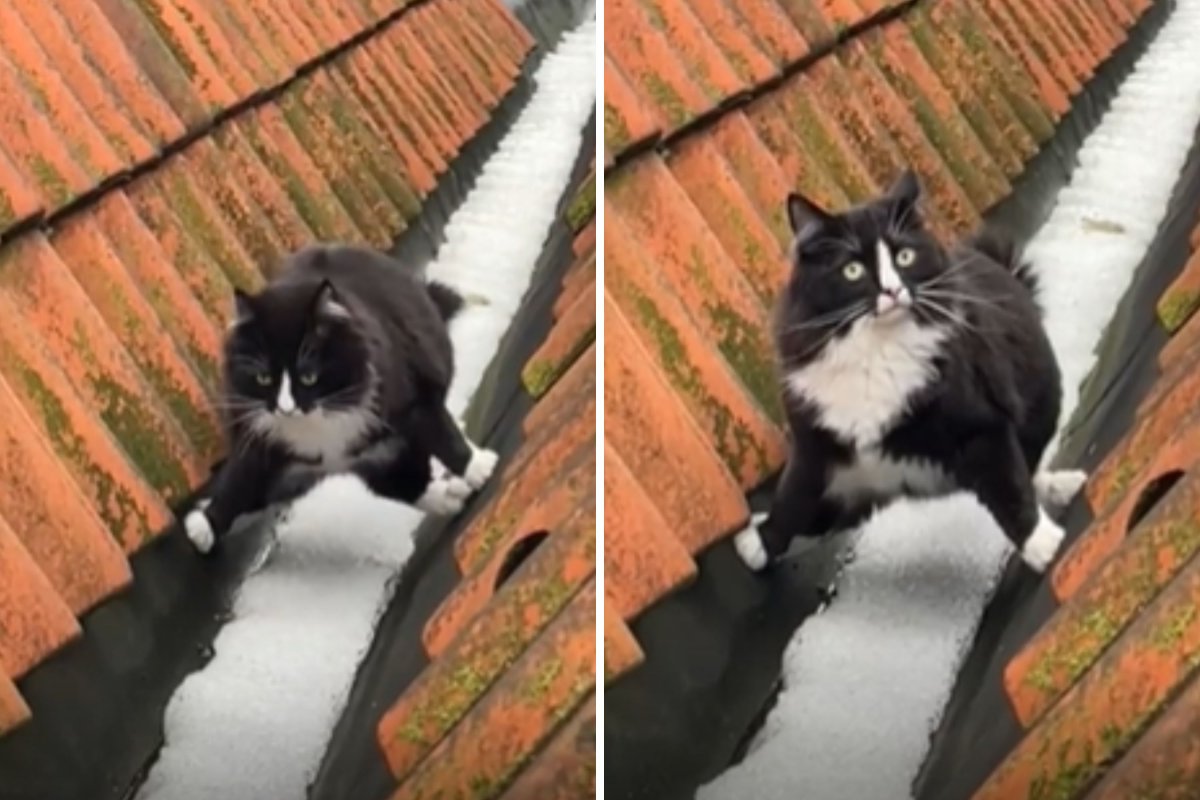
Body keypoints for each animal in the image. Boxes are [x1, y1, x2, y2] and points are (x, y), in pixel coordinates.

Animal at [181, 244, 496, 556]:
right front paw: (205, 525)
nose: (286, 409)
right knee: (402, 482)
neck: (321, 423)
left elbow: (441, 432)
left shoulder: (411, 396)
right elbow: (238, 484)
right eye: (263, 378)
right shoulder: (260, 440)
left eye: (308, 376)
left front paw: (476, 468)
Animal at [729, 169, 1089, 573]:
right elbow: (792, 501)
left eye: (905, 256)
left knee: (1030, 466)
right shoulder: (814, 449)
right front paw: (759, 542)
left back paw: (1062, 485)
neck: (875, 352)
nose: (892, 290)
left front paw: (1042, 543)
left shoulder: (982, 427)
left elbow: (1009, 486)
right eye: (852, 269)